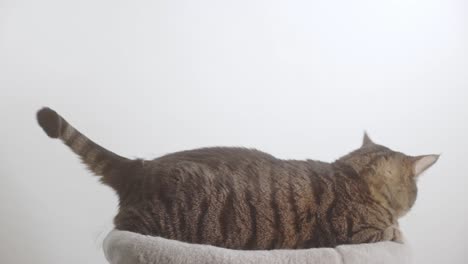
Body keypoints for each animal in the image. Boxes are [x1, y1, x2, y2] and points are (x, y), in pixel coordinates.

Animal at [36, 106, 438, 250]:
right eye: (416, 191)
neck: (352, 174)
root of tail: (141, 165)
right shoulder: (360, 232)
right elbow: (393, 232)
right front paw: (401, 231)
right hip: (148, 222)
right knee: (117, 228)